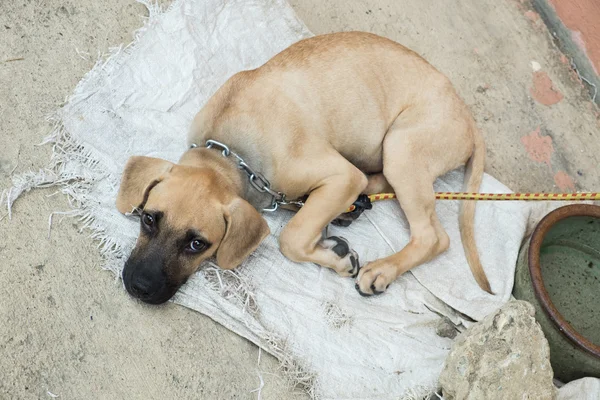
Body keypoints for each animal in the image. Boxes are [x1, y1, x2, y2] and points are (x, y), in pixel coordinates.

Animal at [117, 32, 492, 304]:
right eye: (148, 219)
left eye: (198, 244)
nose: (138, 287)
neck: (230, 154)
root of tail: (467, 115)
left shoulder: (341, 175)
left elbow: (292, 237)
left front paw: (337, 258)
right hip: (392, 152)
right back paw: (351, 208)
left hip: (402, 147)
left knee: (433, 236)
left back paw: (382, 270)